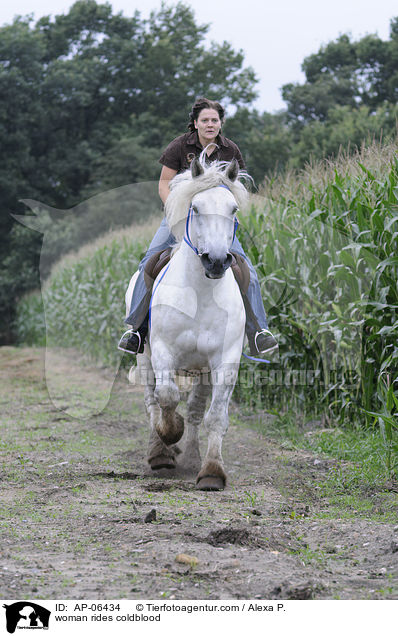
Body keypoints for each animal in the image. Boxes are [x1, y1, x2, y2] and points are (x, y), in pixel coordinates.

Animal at [126, 159, 249, 492]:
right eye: (195, 207)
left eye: (233, 208)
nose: (216, 261)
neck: (200, 294)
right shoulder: (163, 351)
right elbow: (166, 397)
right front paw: (170, 435)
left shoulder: (225, 361)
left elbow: (214, 416)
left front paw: (211, 472)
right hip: (144, 357)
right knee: (151, 401)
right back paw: (160, 453)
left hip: (202, 371)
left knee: (195, 409)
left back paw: (192, 456)